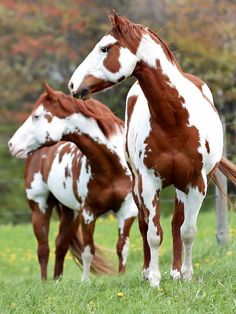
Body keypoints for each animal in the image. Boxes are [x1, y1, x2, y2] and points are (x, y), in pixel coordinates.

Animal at [8, 84, 138, 282]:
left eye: (36, 116)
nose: (11, 145)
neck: (112, 167)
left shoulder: (127, 210)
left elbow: (122, 247)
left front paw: (121, 277)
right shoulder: (88, 213)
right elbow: (88, 250)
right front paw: (85, 282)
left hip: (71, 213)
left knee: (60, 245)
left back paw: (57, 281)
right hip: (40, 207)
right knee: (43, 249)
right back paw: (45, 283)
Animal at [68, 12, 236, 288]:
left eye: (105, 48)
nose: (73, 85)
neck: (174, 122)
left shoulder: (196, 183)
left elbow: (187, 230)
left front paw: (186, 275)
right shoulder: (148, 182)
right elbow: (153, 233)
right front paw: (154, 279)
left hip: (180, 187)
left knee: (177, 224)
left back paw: (176, 271)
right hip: (138, 186)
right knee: (144, 225)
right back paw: (148, 271)